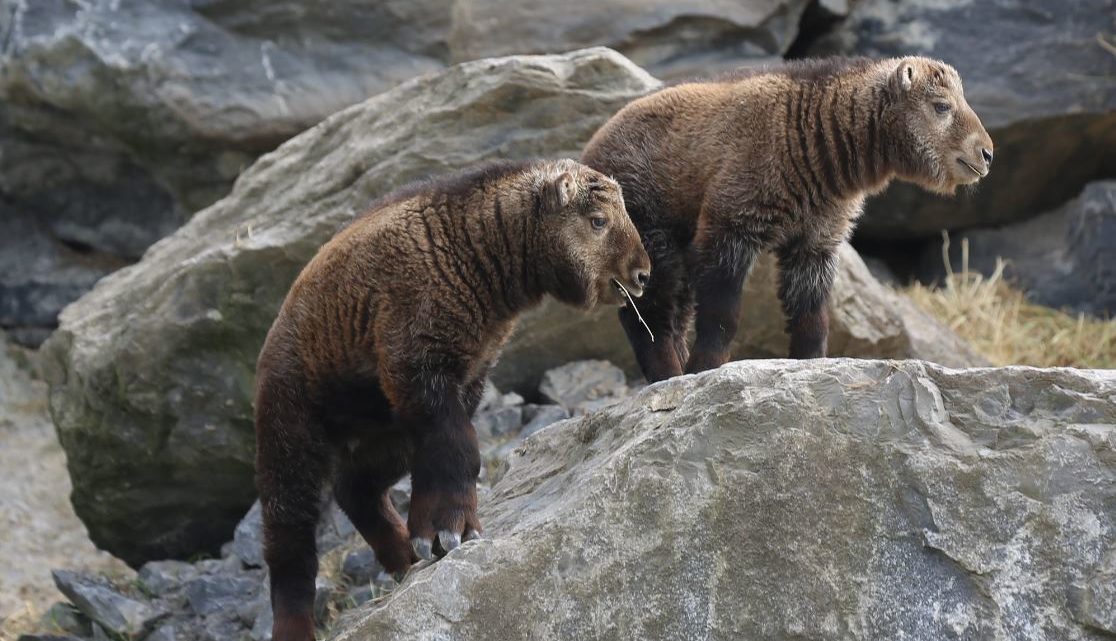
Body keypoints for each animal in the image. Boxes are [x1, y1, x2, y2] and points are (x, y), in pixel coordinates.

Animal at [254, 157, 651, 641]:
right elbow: (460, 448)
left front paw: (436, 535)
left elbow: (444, 456)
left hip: (384, 433)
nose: (642, 275)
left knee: (356, 488)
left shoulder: (462, 383)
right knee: (289, 539)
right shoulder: (419, 370)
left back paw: (404, 556)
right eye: (597, 220)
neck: (470, 246)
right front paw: (451, 530)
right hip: (290, 432)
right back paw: (296, 624)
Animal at [584, 56, 995, 381]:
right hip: (652, 239)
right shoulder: (730, 227)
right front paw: (706, 368)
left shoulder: (814, 245)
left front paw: (810, 364)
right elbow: (722, 315)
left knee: (672, 318)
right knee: (648, 317)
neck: (810, 134)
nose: (987, 153)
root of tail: (590, 156)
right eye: (941, 106)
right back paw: (669, 374)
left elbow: (812, 319)